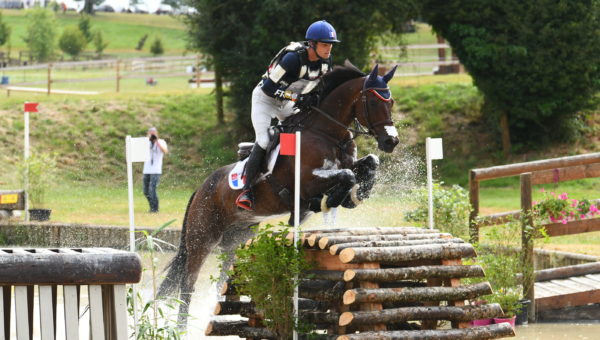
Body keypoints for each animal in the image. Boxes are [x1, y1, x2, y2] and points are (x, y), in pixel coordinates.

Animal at [159, 61, 398, 326]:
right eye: (374, 102)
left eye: (390, 102)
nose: (391, 141)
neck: (327, 133)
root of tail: (200, 189)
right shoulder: (306, 182)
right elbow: (347, 175)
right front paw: (333, 199)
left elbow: (369, 163)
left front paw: (354, 195)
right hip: (202, 238)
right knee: (188, 284)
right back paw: (181, 327)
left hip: (236, 239)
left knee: (221, 279)